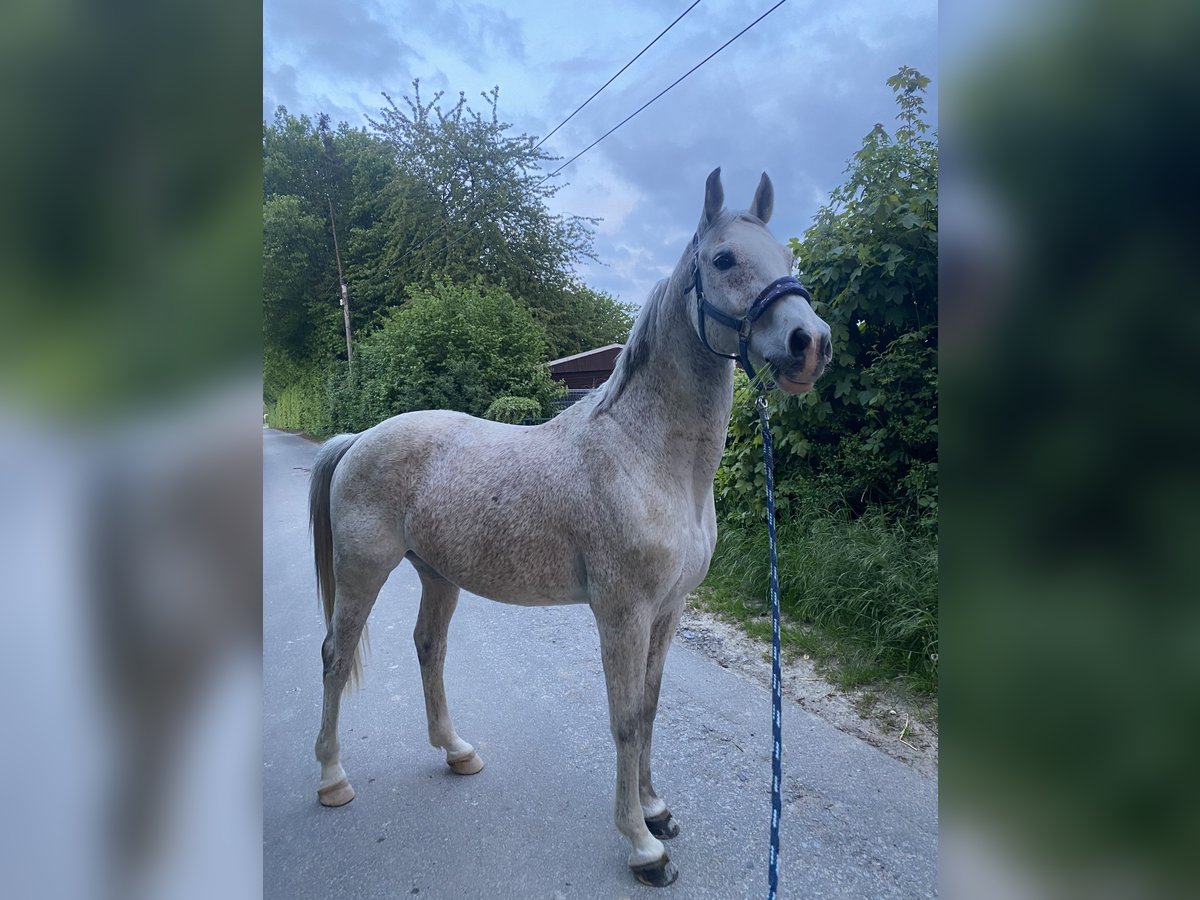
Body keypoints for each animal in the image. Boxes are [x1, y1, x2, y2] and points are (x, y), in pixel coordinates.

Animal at [309, 169, 830, 888]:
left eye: (789, 260)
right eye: (724, 259)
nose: (812, 344)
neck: (646, 456)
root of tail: (359, 437)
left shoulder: (668, 611)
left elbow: (650, 707)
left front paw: (656, 809)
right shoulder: (622, 613)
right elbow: (625, 718)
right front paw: (642, 845)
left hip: (438, 574)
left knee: (428, 649)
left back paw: (456, 751)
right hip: (364, 571)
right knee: (336, 657)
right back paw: (332, 778)